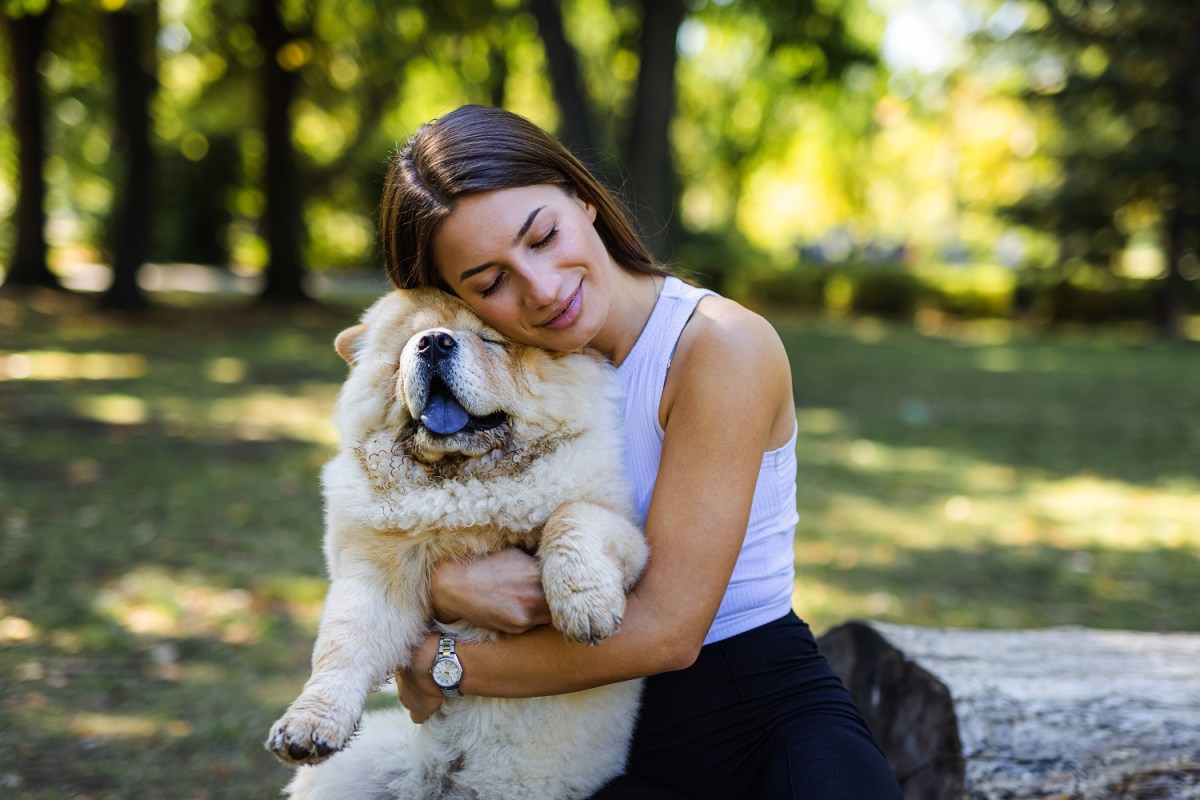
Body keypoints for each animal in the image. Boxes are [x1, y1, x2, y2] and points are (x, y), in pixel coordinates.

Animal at [264, 289, 648, 800]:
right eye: (408, 343)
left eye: (491, 340)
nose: (433, 342)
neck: (459, 485)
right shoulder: (374, 578)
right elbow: (341, 646)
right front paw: (306, 726)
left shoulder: (627, 533)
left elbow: (570, 518)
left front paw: (585, 609)